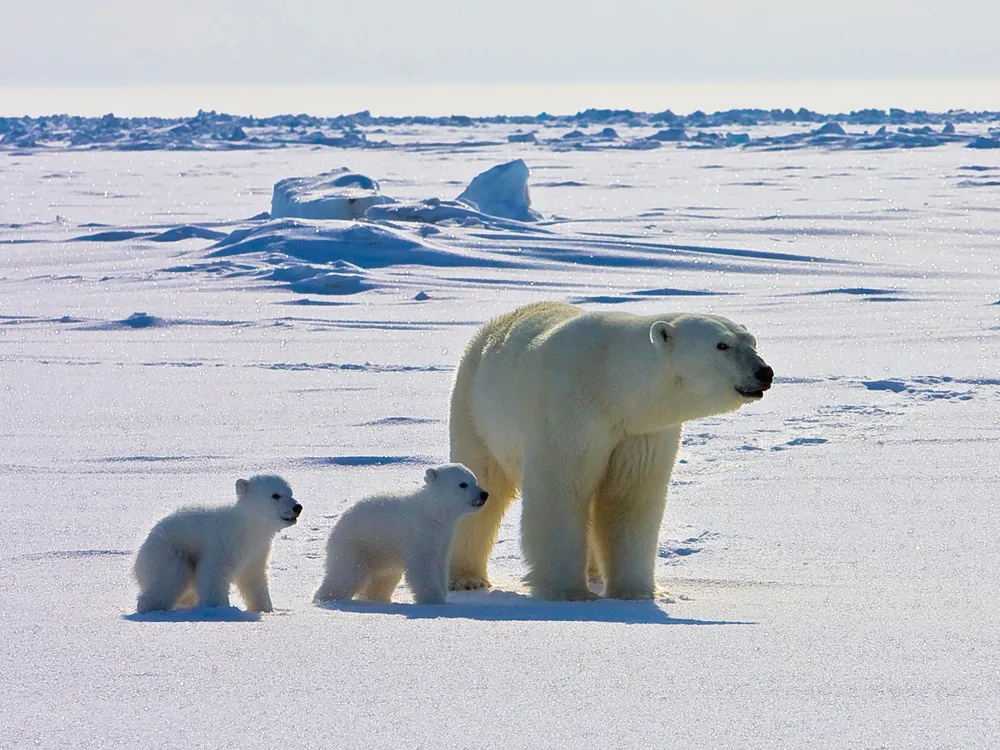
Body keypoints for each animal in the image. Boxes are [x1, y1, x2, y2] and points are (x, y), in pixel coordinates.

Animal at [135, 476, 302, 616]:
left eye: (290, 493)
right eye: (275, 495)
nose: (298, 507)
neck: (246, 528)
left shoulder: (257, 552)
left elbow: (254, 579)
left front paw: (265, 609)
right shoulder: (222, 544)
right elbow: (213, 575)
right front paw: (218, 608)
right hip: (169, 552)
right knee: (170, 578)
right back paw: (151, 608)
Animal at [310, 468, 486, 608]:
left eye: (475, 480)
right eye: (463, 484)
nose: (484, 494)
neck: (432, 512)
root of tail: (335, 529)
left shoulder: (442, 537)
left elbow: (440, 564)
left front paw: (442, 596)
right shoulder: (419, 533)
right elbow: (422, 566)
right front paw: (434, 600)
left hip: (381, 554)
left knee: (384, 579)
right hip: (356, 544)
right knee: (346, 575)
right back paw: (326, 598)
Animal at [448, 302, 772, 604]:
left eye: (752, 341)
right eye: (722, 345)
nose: (764, 372)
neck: (611, 384)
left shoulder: (640, 433)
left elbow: (629, 497)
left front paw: (637, 593)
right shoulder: (569, 415)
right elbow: (562, 491)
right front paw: (570, 592)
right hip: (474, 408)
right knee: (483, 482)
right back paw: (466, 578)